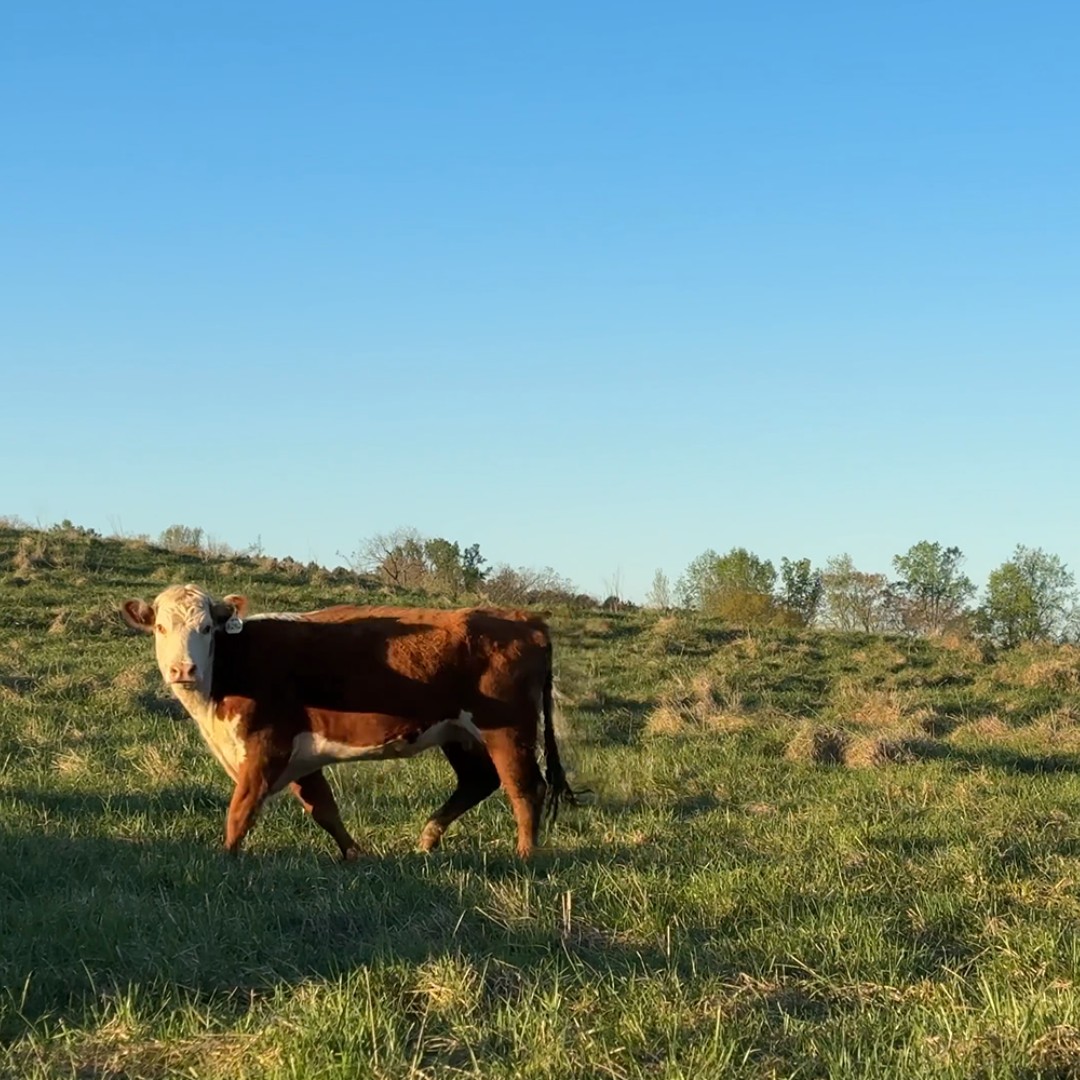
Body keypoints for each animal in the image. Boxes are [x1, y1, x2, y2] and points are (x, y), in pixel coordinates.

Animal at [120, 584, 581, 859]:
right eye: (160, 627)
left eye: (206, 628)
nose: (183, 669)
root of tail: (525, 620)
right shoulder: (301, 753)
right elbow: (324, 808)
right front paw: (354, 855)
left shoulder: (267, 746)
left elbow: (241, 810)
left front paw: (226, 860)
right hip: (459, 733)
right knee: (478, 781)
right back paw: (427, 839)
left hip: (507, 728)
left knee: (525, 788)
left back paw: (525, 856)